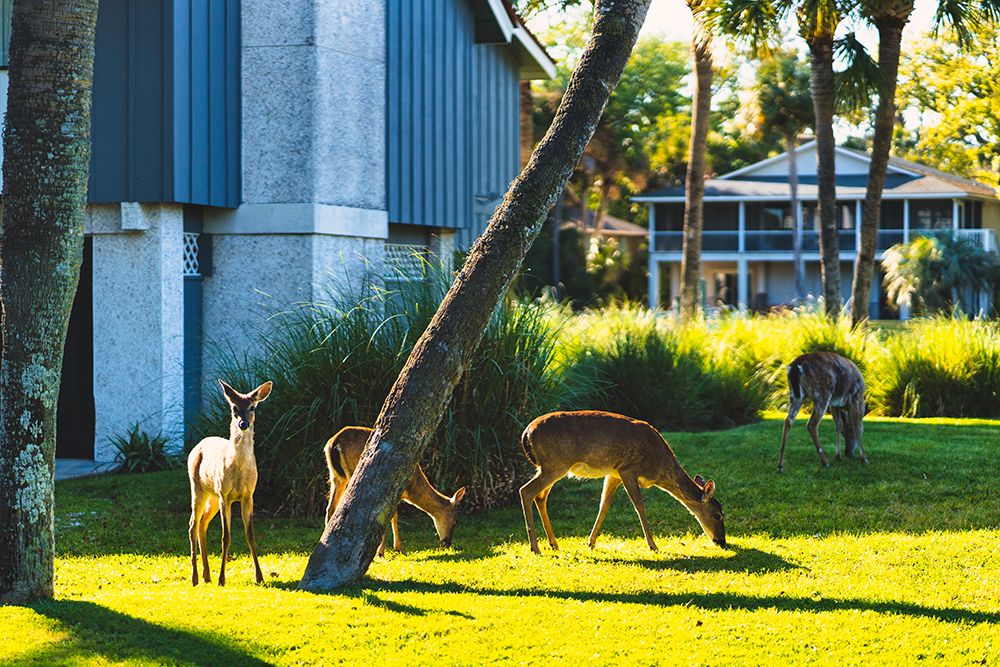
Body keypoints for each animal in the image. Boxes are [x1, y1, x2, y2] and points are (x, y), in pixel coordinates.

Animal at [187, 379, 272, 586]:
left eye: (252, 407)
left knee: (202, 523)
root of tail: (197, 445)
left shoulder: (249, 495)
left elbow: (250, 535)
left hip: (212, 496)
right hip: (198, 488)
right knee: (193, 524)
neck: (239, 467)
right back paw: (195, 577)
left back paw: (206, 575)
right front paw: (222, 579)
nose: (243, 423)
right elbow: (226, 537)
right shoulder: (225, 495)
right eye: (234, 407)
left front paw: (259, 577)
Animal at [324, 426, 466, 555]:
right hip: (353, 473)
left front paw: (394, 549)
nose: (447, 543)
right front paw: (385, 551)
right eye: (456, 520)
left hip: (336, 476)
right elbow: (390, 516)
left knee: (331, 507)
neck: (413, 488)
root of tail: (334, 442)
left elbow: (394, 516)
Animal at [518, 410, 726, 554]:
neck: (658, 466)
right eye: (717, 515)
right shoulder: (628, 469)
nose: (722, 541)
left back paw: (553, 543)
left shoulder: (614, 473)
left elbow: (604, 505)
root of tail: (526, 433)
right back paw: (535, 547)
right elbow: (639, 506)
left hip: (551, 467)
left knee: (540, 497)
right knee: (526, 491)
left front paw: (591, 542)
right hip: (555, 464)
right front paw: (653, 545)